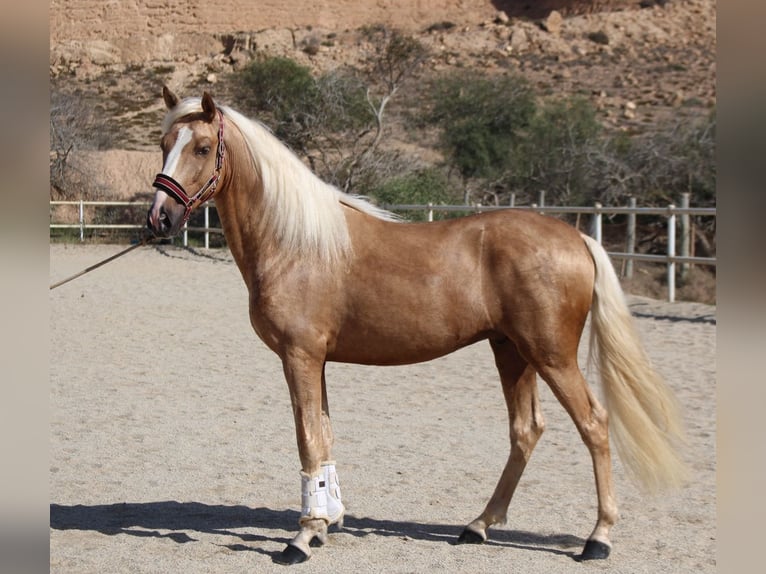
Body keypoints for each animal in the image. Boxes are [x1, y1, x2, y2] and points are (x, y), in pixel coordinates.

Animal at [147, 89, 688, 568]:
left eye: (201, 147)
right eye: (163, 142)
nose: (159, 218)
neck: (297, 243)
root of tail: (577, 236)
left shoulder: (300, 356)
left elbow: (308, 440)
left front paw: (301, 539)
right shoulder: (316, 361)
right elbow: (324, 436)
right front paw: (325, 522)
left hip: (551, 355)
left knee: (594, 425)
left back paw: (598, 538)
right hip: (512, 352)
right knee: (526, 430)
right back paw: (478, 526)